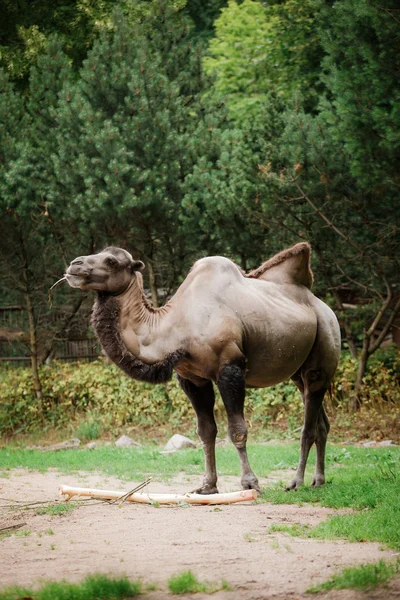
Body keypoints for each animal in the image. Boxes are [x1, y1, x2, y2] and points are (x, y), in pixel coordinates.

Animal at [65, 241, 340, 494]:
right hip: (298, 373)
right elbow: (206, 432)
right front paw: (208, 486)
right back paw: (319, 480)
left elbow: (237, 430)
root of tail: (322, 306)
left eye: (111, 260)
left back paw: (297, 482)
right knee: (321, 422)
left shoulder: (230, 368)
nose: (73, 265)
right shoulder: (192, 378)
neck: (176, 326)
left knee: (308, 427)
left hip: (323, 349)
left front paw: (250, 483)